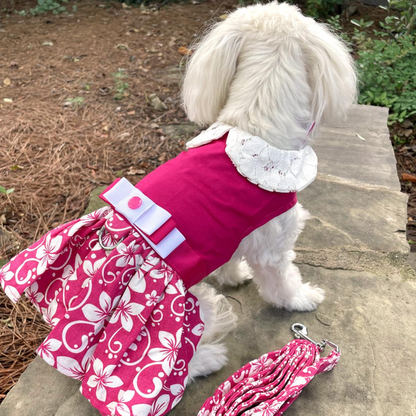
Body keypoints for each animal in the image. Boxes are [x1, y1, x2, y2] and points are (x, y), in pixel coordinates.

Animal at [185, 1, 358, 382]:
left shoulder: (231, 231)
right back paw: (207, 359)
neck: (255, 126)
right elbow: (282, 282)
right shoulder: (273, 243)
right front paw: (302, 298)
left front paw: (235, 276)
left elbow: (229, 259)